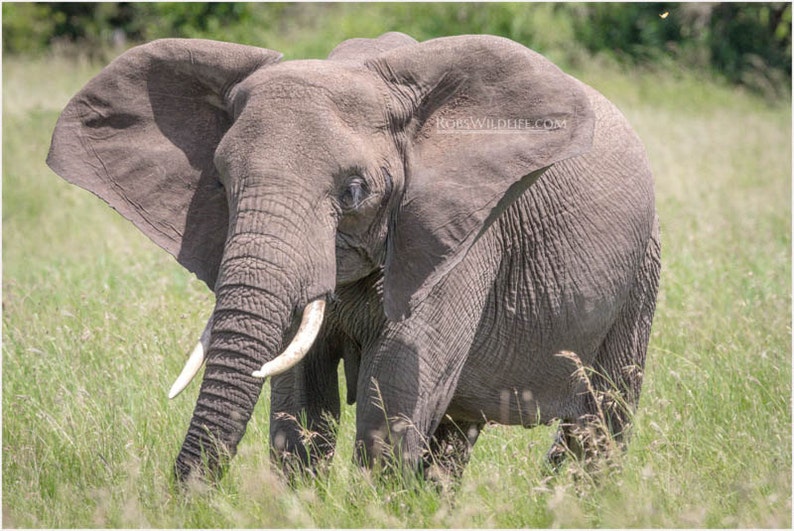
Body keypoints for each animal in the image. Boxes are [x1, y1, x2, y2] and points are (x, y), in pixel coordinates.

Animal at [46, 31, 660, 484]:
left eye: (355, 191)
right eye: (220, 183)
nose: (188, 497)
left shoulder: (461, 235)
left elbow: (395, 391)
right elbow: (298, 399)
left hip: (641, 271)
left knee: (600, 422)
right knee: (455, 434)